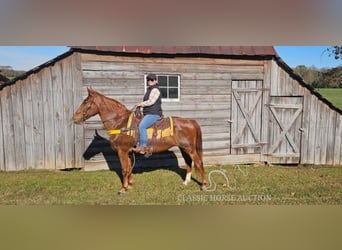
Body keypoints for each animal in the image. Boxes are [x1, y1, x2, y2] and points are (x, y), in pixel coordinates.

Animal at [72, 87, 207, 194]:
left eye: (85, 102)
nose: (74, 118)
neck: (120, 123)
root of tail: (191, 121)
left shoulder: (122, 151)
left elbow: (124, 169)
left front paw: (123, 189)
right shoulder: (128, 152)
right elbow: (129, 168)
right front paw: (129, 185)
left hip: (190, 149)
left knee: (199, 163)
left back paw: (204, 185)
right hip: (184, 148)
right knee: (188, 163)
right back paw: (186, 182)